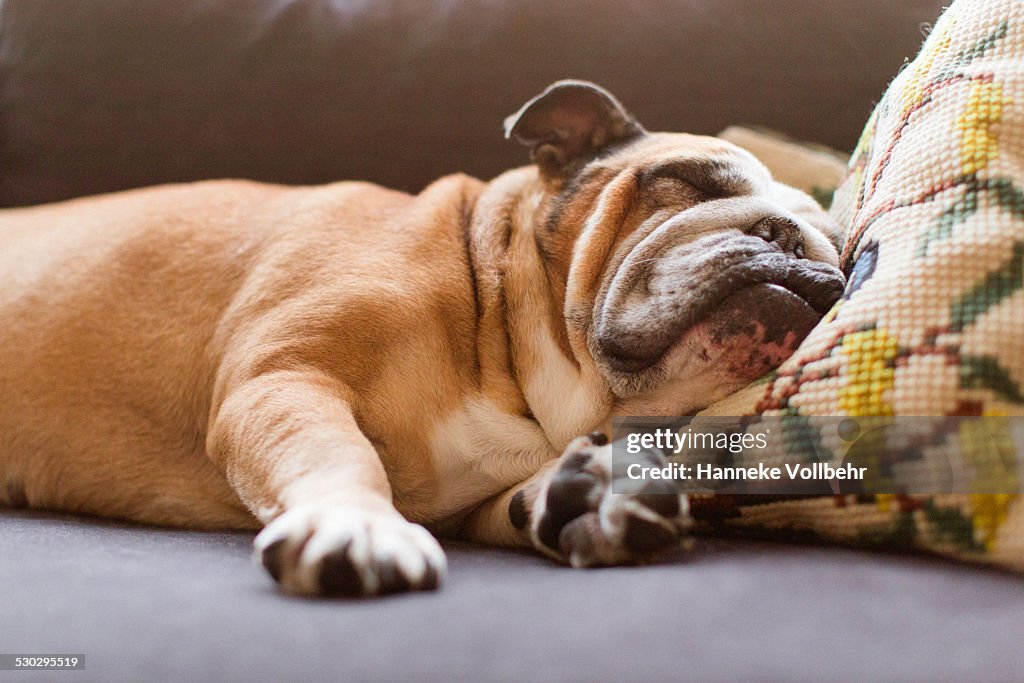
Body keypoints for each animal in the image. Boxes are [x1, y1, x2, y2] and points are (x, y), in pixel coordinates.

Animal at [0, 78, 843, 593]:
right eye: (688, 181)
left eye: (836, 250)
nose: (790, 241)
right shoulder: (285, 380)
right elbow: (339, 454)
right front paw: (357, 523)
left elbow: (512, 501)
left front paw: (583, 497)